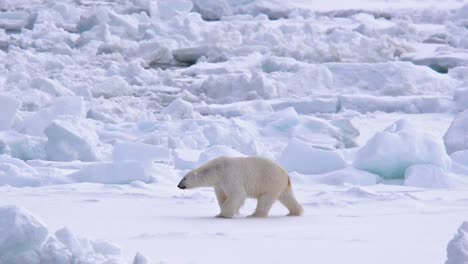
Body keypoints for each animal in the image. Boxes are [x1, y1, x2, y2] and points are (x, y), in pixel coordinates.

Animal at [176, 156, 304, 218]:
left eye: (184, 178)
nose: (178, 185)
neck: (217, 170)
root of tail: (286, 175)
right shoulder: (219, 184)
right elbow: (222, 197)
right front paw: (220, 213)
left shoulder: (229, 176)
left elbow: (237, 194)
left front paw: (225, 214)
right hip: (279, 185)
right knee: (287, 198)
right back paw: (295, 212)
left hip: (270, 182)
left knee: (265, 200)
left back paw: (254, 215)